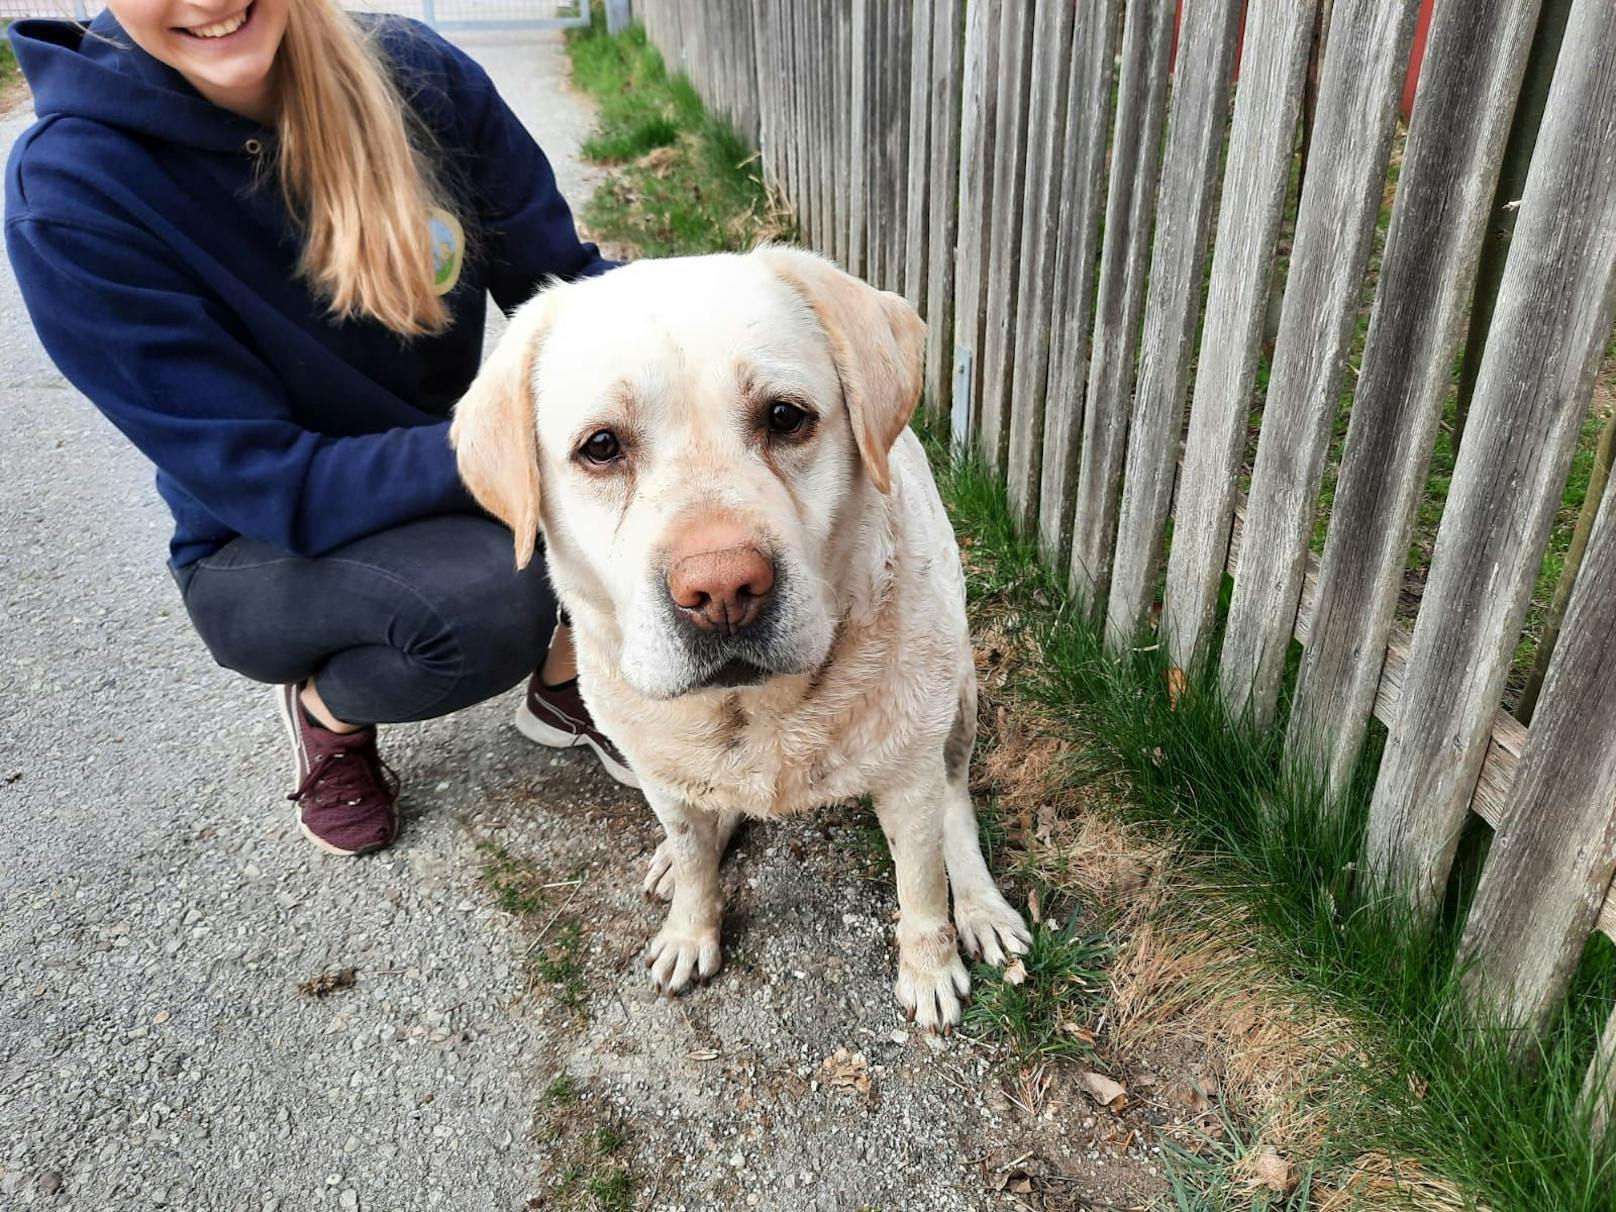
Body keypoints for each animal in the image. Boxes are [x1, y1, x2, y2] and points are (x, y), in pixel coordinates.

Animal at [452, 248, 1034, 1034]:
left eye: (785, 417)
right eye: (601, 447)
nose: (722, 590)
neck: (755, 714)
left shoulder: (907, 780)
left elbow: (920, 889)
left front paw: (930, 969)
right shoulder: (659, 770)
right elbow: (698, 862)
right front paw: (690, 929)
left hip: (958, 702)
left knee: (957, 810)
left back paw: (979, 905)